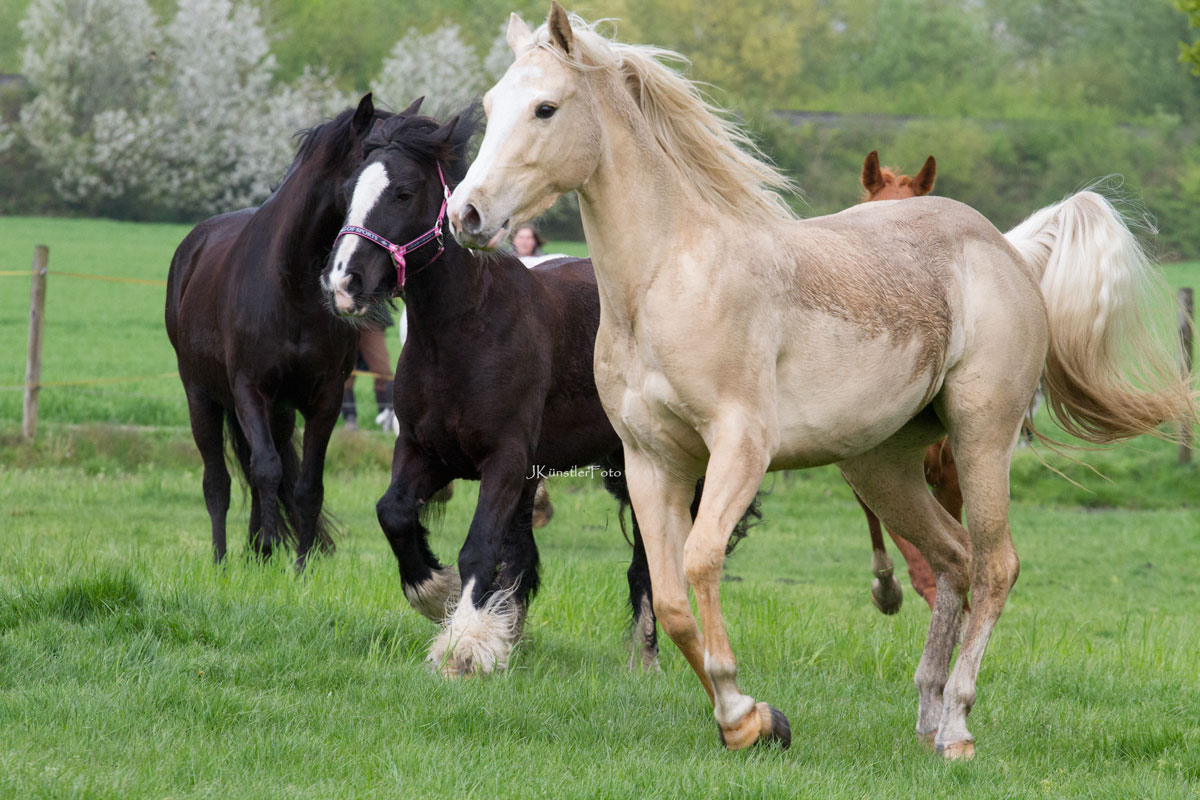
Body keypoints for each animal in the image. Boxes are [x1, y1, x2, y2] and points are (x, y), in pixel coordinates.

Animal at [164, 97, 408, 566]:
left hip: (278, 410)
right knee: (218, 482)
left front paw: (296, 563)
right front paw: (267, 547)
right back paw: (223, 559)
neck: (291, 284)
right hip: (201, 396)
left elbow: (306, 483)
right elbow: (265, 470)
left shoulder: (324, 396)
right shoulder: (249, 390)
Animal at [321, 104, 758, 676]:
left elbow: (479, 548)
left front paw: (463, 645)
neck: (462, 333)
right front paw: (442, 598)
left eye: (403, 192)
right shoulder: (423, 450)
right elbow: (393, 513)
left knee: (649, 559)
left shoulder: (504, 459)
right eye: (348, 188)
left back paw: (645, 660)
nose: (343, 283)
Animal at [446, 6, 1195, 758]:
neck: (670, 278)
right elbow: (669, 598)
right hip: (881, 464)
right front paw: (749, 719)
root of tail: (1006, 248)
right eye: (490, 105)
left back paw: (956, 724)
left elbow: (701, 562)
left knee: (994, 566)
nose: (466, 216)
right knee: (951, 558)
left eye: (545, 108)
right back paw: (926, 716)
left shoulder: (740, 448)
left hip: (982, 437)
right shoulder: (650, 460)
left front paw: (742, 712)